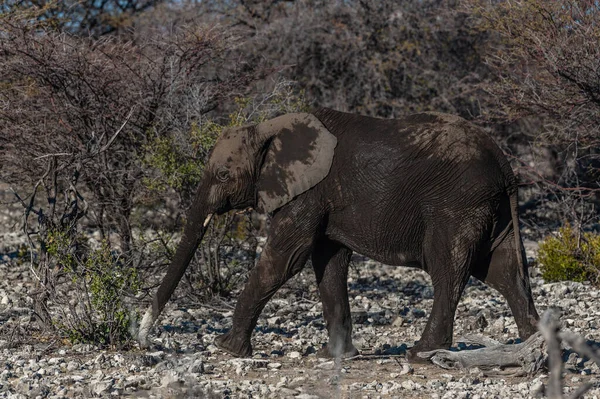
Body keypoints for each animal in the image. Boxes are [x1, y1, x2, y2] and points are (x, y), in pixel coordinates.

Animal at [138, 109, 540, 362]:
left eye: (223, 174)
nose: (142, 336)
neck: (269, 129)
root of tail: (504, 165)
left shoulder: (307, 193)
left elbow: (285, 259)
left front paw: (226, 349)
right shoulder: (323, 200)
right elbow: (328, 265)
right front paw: (333, 356)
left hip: (456, 205)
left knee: (448, 271)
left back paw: (421, 353)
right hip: (491, 209)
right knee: (503, 270)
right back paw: (535, 342)